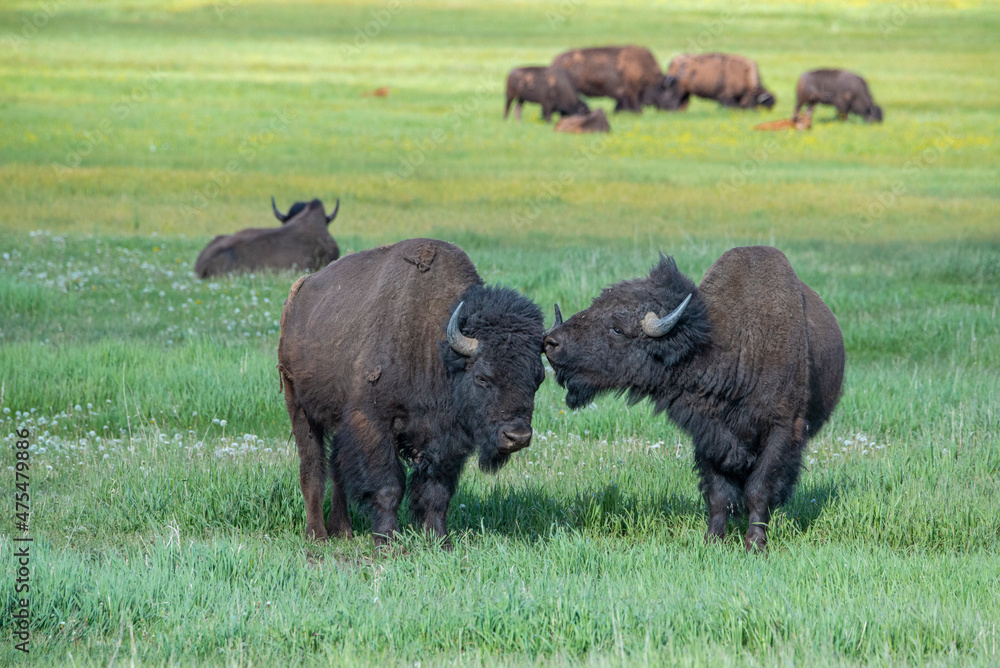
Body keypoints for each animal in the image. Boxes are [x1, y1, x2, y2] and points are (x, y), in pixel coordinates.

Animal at [278, 240, 548, 548]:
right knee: (313, 466)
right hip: (298, 404)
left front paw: (439, 541)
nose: (517, 437)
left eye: (538, 378)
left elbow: (437, 491)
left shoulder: (447, 440)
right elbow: (388, 486)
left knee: (337, 468)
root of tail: (297, 296)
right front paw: (386, 543)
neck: (439, 349)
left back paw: (343, 530)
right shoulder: (373, 422)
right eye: (482, 376)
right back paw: (317, 534)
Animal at [548, 248, 844, 552]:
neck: (735, 343)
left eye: (617, 329)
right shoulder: (708, 436)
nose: (551, 342)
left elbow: (759, 489)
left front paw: (754, 544)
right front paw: (713, 541)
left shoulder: (781, 430)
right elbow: (718, 494)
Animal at [552, 45, 684, 112]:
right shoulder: (631, 91)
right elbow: (635, 105)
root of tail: (556, 60)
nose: (674, 110)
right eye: (671, 93)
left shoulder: (621, 94)